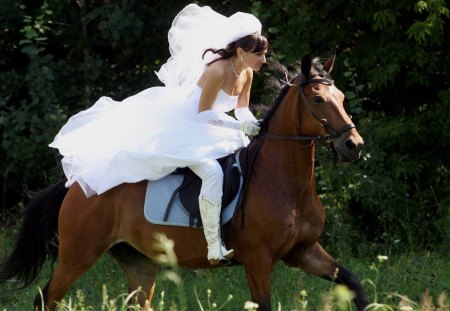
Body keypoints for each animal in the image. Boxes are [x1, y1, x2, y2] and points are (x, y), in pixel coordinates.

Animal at [0, 54, 368, 310]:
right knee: (44, 299)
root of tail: (76, 187)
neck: (287, 184)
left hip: (137, 263)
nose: (354, 145)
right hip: (78, 255)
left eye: (342, 97)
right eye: (318, 99)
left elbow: (353, 283)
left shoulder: (303, 251)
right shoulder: (258, 259)